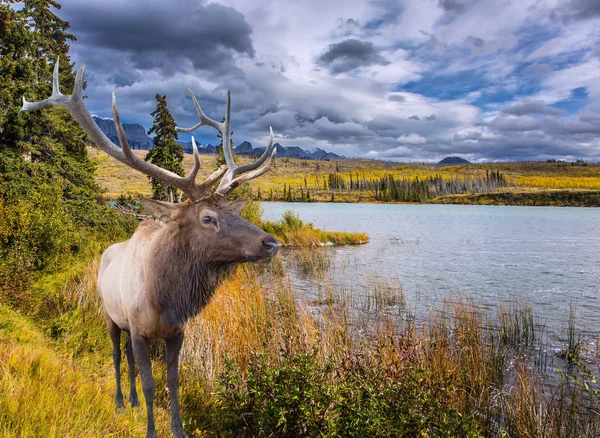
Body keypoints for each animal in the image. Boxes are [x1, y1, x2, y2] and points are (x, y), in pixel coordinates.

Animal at [21, 59, 278, 438]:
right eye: (207, 218)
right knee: (117, 355)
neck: (165, 299)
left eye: (235, 212)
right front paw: (151, 430)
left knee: (127, 359)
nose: (270, 242)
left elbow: (172, 381)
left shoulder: (176, 333)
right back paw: (118, 400)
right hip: (110, 315)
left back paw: (130, 401)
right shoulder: (140, 330)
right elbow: (151, 384)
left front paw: (178, 429)